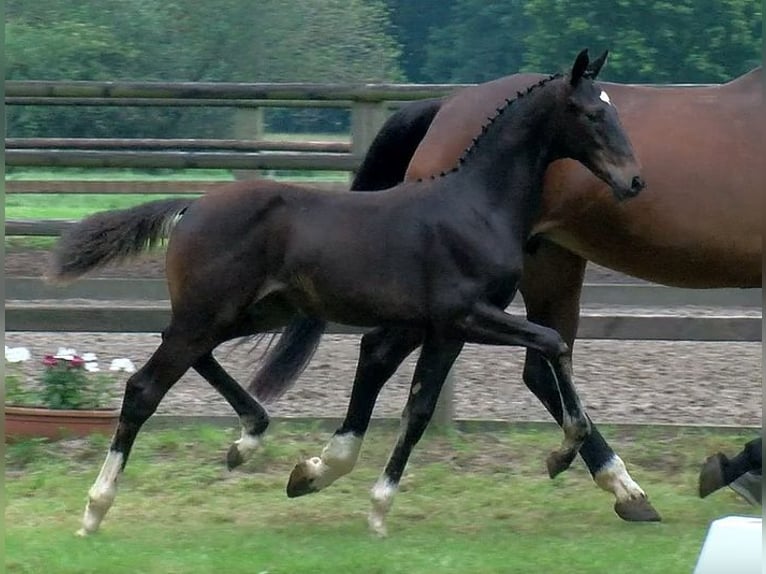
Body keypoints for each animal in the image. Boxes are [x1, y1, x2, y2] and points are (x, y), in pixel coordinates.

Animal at [51, 49, 644, 540]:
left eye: (613, 109)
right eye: (591, 113)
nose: (635, 182)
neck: (477, 205)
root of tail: (192, 206)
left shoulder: (442, 328)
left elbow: (418, 408)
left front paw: (366, 501)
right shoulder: (465, 317)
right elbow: (550, 343)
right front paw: (560, 454)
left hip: (249, 312)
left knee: (190, 355)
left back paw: (248, 439)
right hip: (211, 313)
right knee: (143, 387)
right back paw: (95, 509)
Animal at [249, 64, 764, 528]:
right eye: (592, 116)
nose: (635, 180)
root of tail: (445, 104)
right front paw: (738, 469)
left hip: (544, 269)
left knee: (520, 365)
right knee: (406, 354)